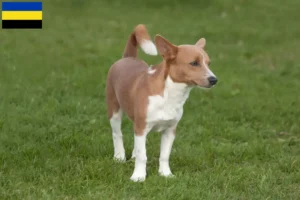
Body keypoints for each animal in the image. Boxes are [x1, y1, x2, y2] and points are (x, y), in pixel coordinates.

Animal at [106, 24, 218, 182]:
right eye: (194, 63)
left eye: (208, 63)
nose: (214, 80)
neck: (170, 96)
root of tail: (128, 57)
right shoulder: (141, 127)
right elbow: (142, 156)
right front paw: (138, 176)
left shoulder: (170, 130)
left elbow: (164, 155)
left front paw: (165, 174)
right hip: (114, 112)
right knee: (117, 134)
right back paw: (119, 157)